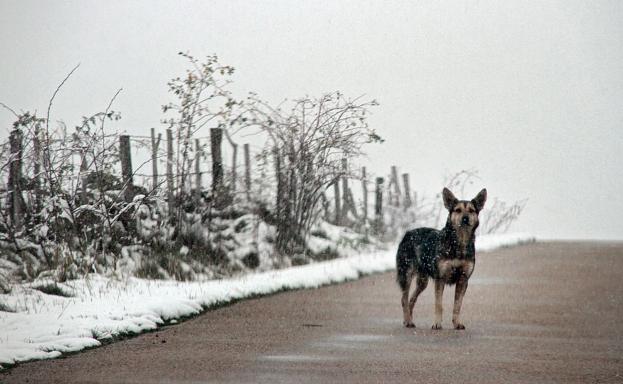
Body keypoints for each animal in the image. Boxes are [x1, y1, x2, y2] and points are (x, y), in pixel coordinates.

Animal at [400, 188, 488, 328]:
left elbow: (457, 305)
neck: (459, 243)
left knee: (411, 299)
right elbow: (439, 304)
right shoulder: (440, 278)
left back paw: (408, 319)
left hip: (422, 281)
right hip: (407, 274)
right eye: (458, 210)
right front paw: (437, 324)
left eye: (471, 210)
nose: (465, 218)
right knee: (404, 299)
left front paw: (457, 323)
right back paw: (408, 321)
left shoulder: (463, 279)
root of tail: (407, 233)